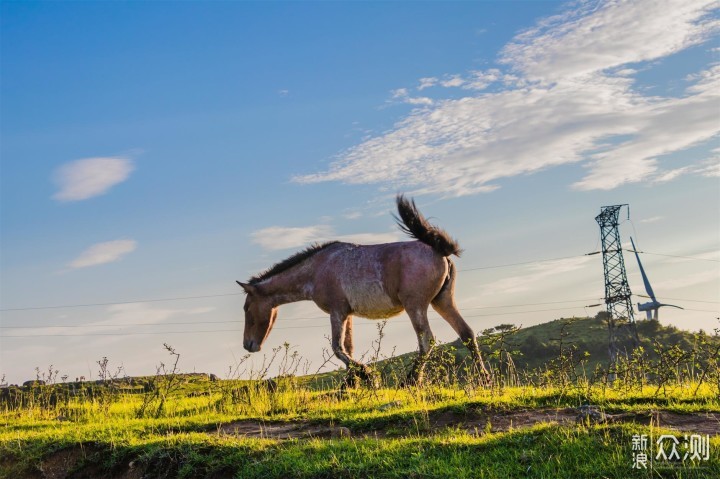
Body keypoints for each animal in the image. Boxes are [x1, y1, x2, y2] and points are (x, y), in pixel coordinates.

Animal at [239, 195, 492, 386]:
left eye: (246, 308)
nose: (247, 345)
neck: (318, 268)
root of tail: (441, 250)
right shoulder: (347, 314)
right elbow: (348, 348)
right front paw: (351, 383)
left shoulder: (337, 312)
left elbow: (337, 348)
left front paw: (367, 376)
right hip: (442, 301)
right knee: (467, 333)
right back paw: (484, 378)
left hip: (416, 306)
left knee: (427, 341)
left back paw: (410, 381)